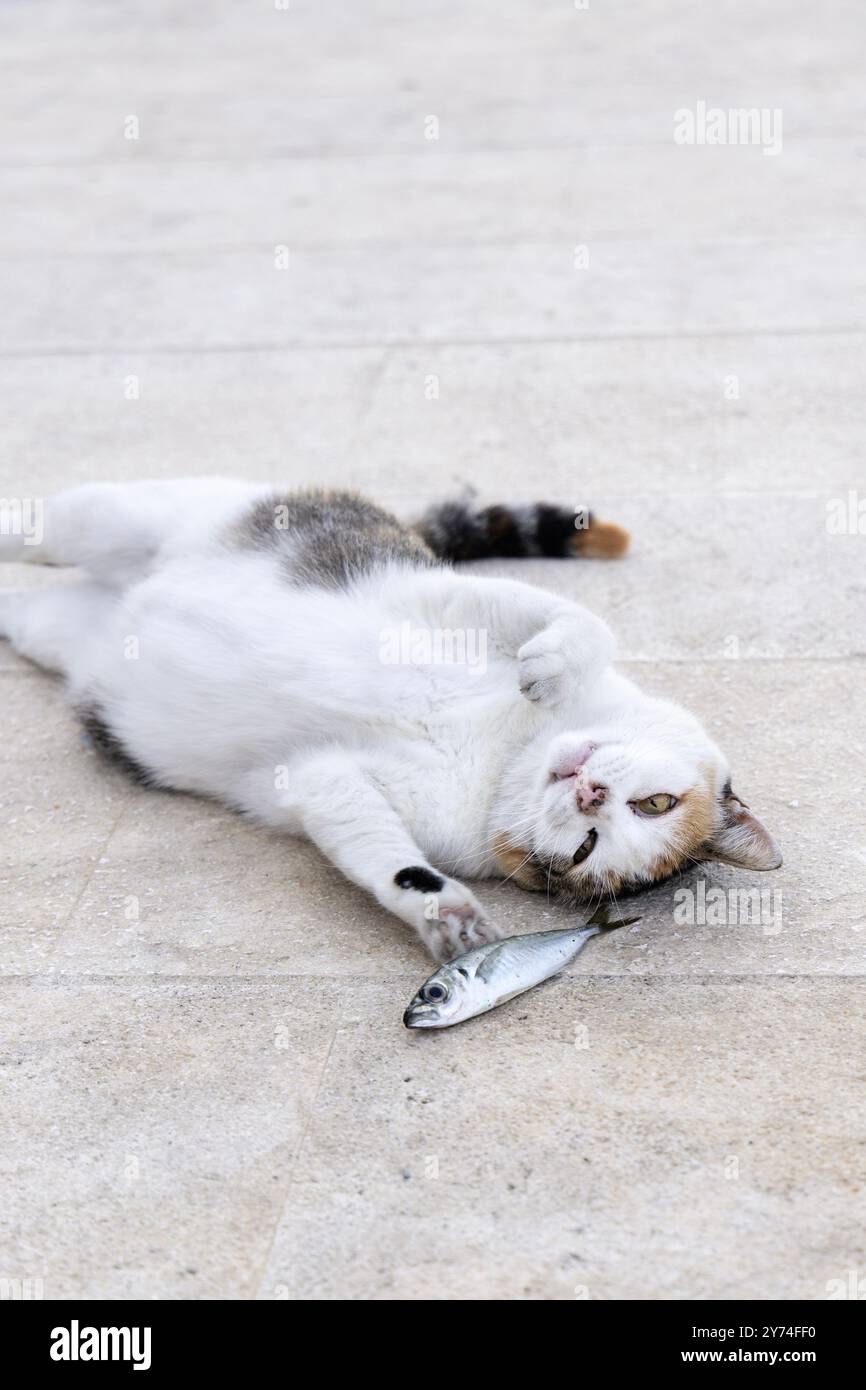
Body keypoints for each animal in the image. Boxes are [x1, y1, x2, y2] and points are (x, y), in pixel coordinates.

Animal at [0, 478, 783, 956]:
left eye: (588, 850)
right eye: (658, 803)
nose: (591, 792)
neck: (503, 752)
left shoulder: (322, 777)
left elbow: (388, 858)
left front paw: (445, 916)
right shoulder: (445, 600)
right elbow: (584, 624)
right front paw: (551, 667)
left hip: (62, 635)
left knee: (24, 601)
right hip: (129, 519)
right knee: (41, 524)